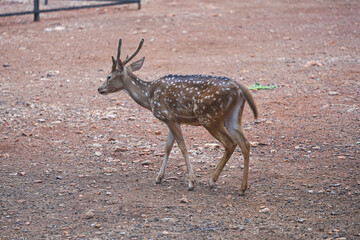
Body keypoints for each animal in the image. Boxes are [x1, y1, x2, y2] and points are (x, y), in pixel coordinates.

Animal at [97, 38, 258, 195]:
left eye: (109, 76)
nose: (100, 89)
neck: (149, 97)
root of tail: (240, 88)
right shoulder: (174, 120)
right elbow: (167, 147)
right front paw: (159, 178)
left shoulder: (168, 116)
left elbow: (182, 146)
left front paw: (191, 182)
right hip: (233, 117)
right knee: (245, 143)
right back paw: (242, 188)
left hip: (209, 116)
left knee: (230, 143)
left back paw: (213, 180)